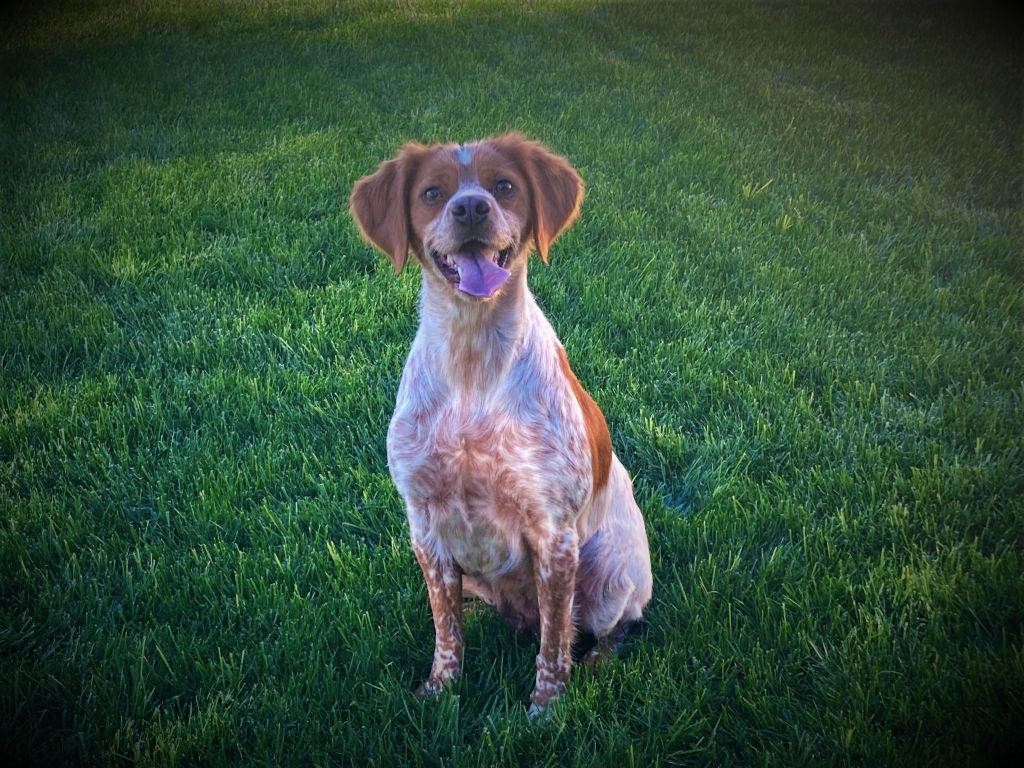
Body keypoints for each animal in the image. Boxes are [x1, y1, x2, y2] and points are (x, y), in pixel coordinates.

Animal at [350, 133, 652, 717]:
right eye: (432, 192)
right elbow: (446, 631)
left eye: (505, 186)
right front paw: (439, 691)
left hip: (609, 572)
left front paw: (545, 713)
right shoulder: (425, 525)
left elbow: (554, 644)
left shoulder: (554, 533)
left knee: (612, 626)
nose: (470, 208)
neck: (472, 360)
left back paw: (598, 661)